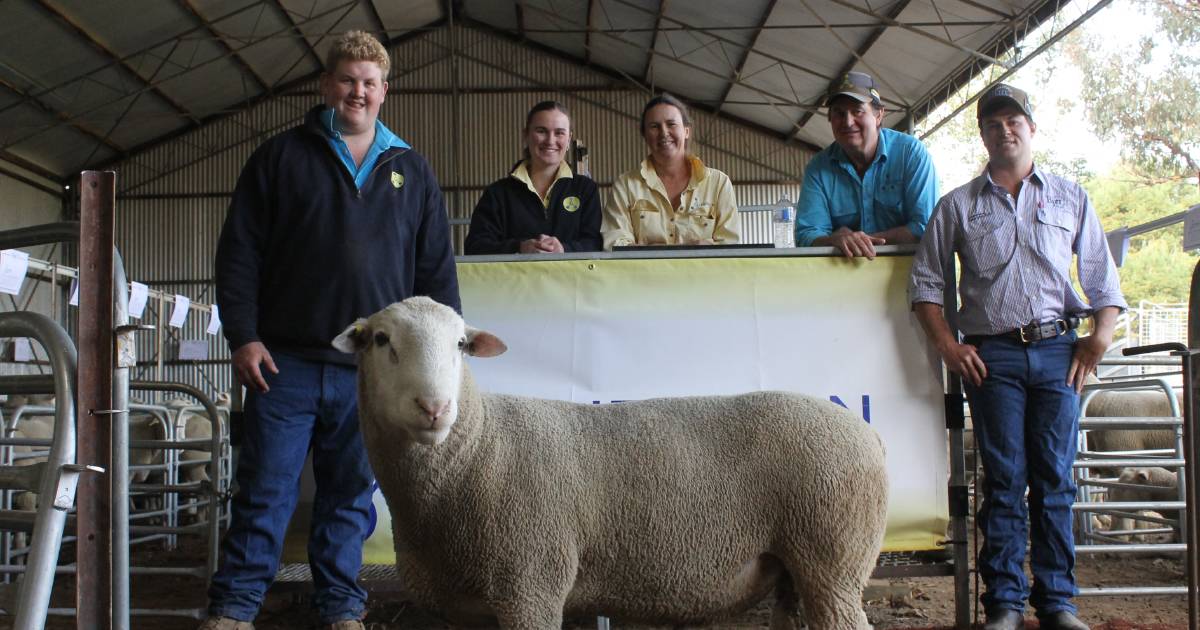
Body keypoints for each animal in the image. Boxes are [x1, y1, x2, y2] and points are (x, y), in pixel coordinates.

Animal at [336, 296, 892, 628]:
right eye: (381, 340)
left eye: (460, 344)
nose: (434, 407)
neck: (475, 452)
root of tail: (867, 433)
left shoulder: (531, 584)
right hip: (795, 570)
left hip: (834, 558)